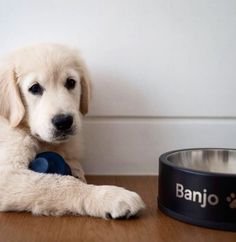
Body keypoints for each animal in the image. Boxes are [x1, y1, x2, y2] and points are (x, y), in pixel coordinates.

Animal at [0, 44, 145, 218]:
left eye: (70, 82)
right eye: (34, 88)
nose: (63, 122)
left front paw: (76, 169)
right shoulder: (7, 175)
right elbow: (57, 183)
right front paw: (110, 196)